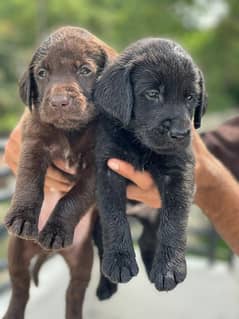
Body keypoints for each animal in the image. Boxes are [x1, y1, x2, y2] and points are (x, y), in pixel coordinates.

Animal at [94, 38, 206, 292]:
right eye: (153, 94)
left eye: (190, 98)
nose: (180, 133)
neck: (141, 146)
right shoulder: (108, 170)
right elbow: (114, 218)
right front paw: (119, 261)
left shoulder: (179, 173)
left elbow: (174, 222)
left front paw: (169, 269)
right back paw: (106, 287)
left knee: (148, 237)